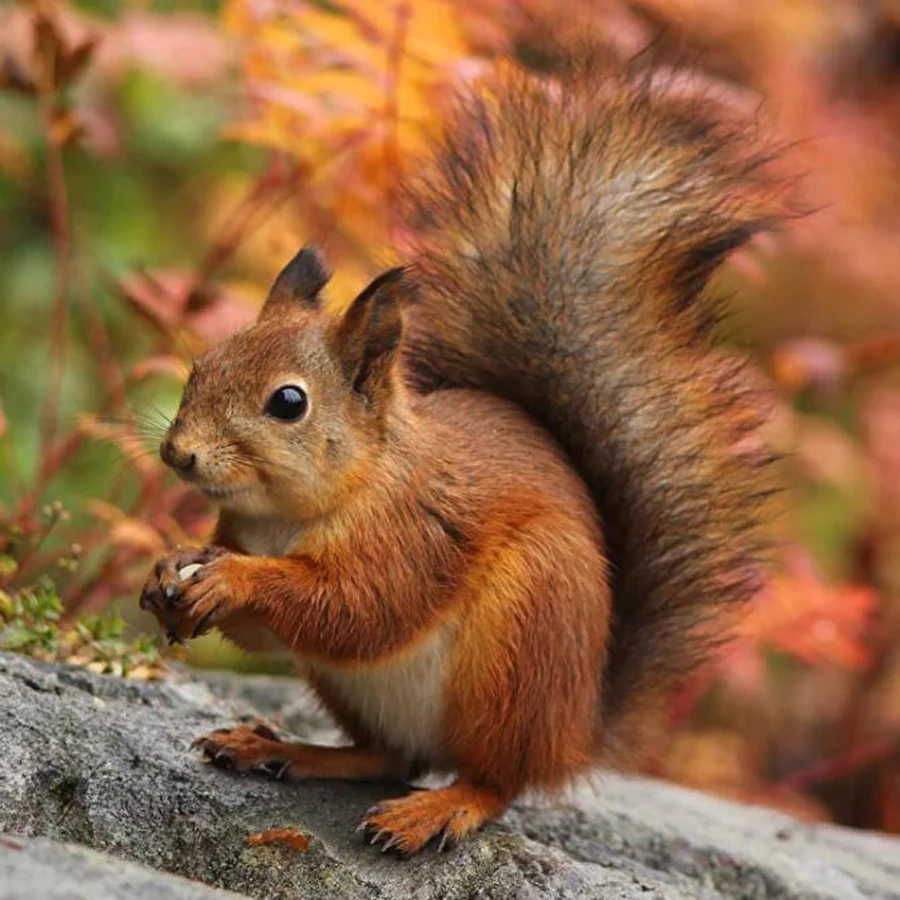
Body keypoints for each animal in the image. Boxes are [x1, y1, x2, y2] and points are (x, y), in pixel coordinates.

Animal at [139, 54, 777, 856]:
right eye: (204, 363)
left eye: (288, 402)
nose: (178, 453)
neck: (294, 512)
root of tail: (573, 734)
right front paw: (171, 566)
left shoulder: (415, 534)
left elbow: (357, 608)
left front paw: (233, 578)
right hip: (356, 688)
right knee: (390, 756)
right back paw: (283, 749)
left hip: (518, 648)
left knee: (495, 779)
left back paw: (437, 809)